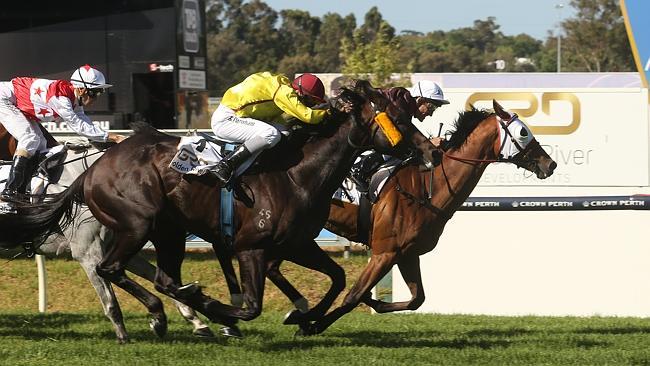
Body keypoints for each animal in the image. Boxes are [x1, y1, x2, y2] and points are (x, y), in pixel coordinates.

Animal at [0, 126, 215, 344]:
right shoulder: (87, 254)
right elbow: (111, 302)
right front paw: (124, 336)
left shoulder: (118, 246)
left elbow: (152, 274)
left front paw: (195, 320)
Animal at [264, 100, 552, 334]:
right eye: (523, 132)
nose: (550, 164)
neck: (427, 188)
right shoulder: (385, 252)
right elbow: (353, 297)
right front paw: (315, 326)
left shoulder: (407, 254)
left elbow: (416, 300)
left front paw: (373, 301)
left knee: (271, 266)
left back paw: (298, 312)